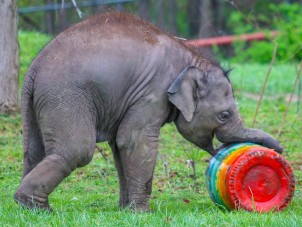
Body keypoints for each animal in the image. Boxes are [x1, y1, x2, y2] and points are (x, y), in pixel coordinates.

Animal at [14, 12, 284, 211]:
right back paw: (33, 206)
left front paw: (126, 210)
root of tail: (34, 67)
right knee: (76, 151)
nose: (280, 150)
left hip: (39, 103)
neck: (188, 56)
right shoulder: (152, 93)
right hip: (65, 96)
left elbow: (119, 145)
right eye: (224, 115)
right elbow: (135, 140)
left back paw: (31, 207)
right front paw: (142, 212)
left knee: (34, 150)